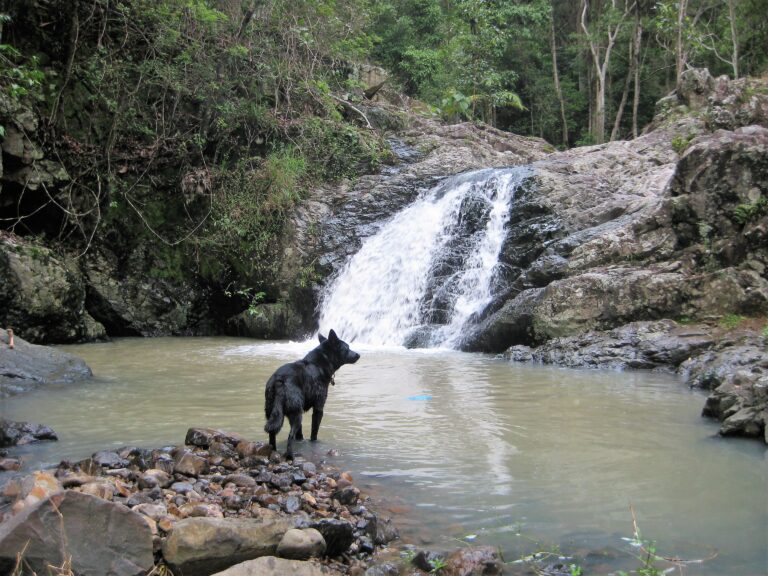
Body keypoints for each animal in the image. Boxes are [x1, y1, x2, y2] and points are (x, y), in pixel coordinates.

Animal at [264, 328, 360, 460]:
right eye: (347, 347)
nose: (358, 355)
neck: (319, 363)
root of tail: (279, 381)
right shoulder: (319, 407)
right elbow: (314, 432)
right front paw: (314, 442)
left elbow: (300, 434)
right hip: (296, 414)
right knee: (290, 436)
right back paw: (290, 456)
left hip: (274, 413)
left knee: (272, 435)